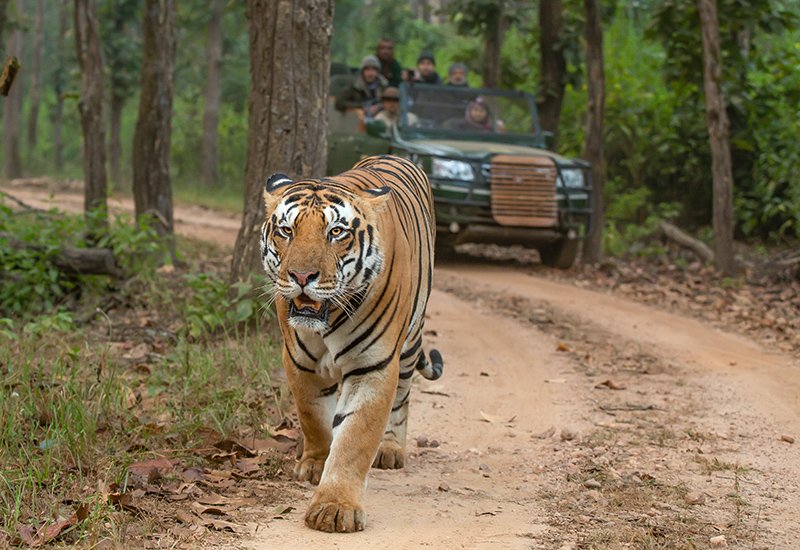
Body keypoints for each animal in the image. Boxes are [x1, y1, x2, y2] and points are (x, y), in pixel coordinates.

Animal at [260, 154, 444, 533]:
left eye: (336, 232)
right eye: (287, 231)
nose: (301, 276)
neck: (327, 320)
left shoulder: (372, 367)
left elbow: (356, 437)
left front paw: (334, 507)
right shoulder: (299, 362)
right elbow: (313, 417)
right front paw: (315, 464)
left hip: (409, 345)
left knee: (403, 397)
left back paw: (391, 449)